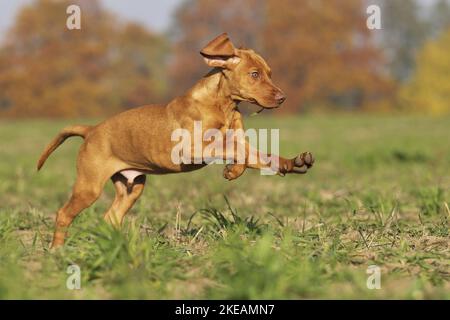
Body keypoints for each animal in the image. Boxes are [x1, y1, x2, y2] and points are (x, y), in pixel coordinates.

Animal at [37, 33, 312, 248]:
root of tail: (92, 129)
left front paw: (290, 163)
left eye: (269, 73)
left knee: (111, 218)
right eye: (254, 74)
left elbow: (257, 154)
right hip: (89, 186)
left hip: (132, 187)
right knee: (64, 214)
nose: (283, 98)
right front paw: (233, 171)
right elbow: (234, 149)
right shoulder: (192, 148)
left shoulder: (236, 141)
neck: (222, 105)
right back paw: (57, 251)